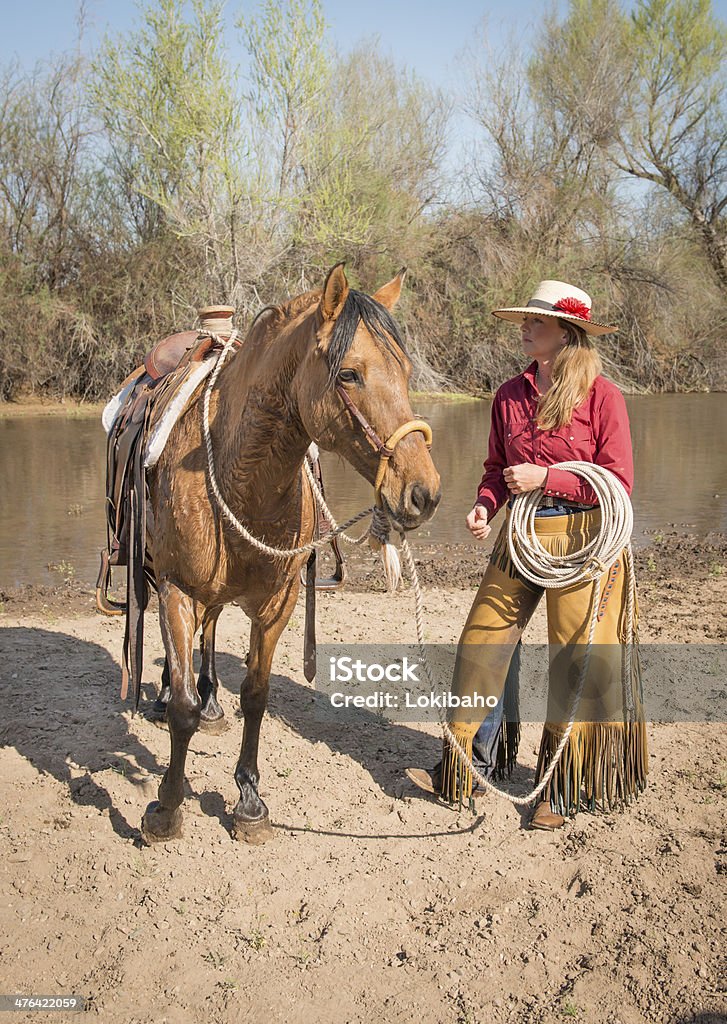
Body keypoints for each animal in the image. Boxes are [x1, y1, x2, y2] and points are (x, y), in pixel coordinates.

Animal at [139, 266, 442, 847]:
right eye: (349, 374)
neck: (238, 476)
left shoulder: (277, 605)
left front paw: (249, 800)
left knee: (212, 635)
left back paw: (214, 704)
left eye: (405, 370)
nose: (423, 493)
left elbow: (256, 697)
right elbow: (183, 711)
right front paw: (167, 807)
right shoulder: (176, 590)